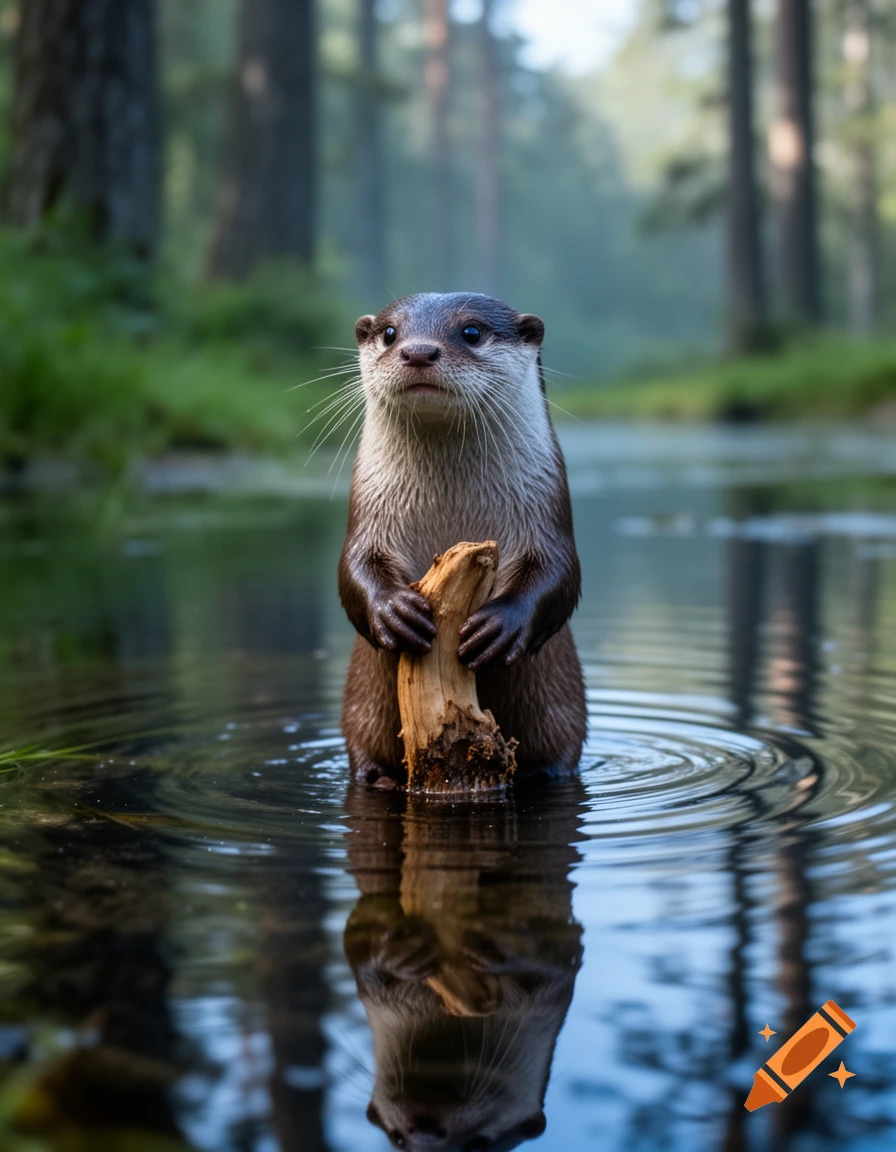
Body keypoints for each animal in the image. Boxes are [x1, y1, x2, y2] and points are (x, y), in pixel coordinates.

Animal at [339, 292, 586, 784]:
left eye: (471, 331)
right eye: (390, 333)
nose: (417, 351)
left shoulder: (549, 513)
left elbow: (560, 572)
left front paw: (501, 628)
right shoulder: (368, 514)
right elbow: (353, 566)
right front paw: (394, 612)